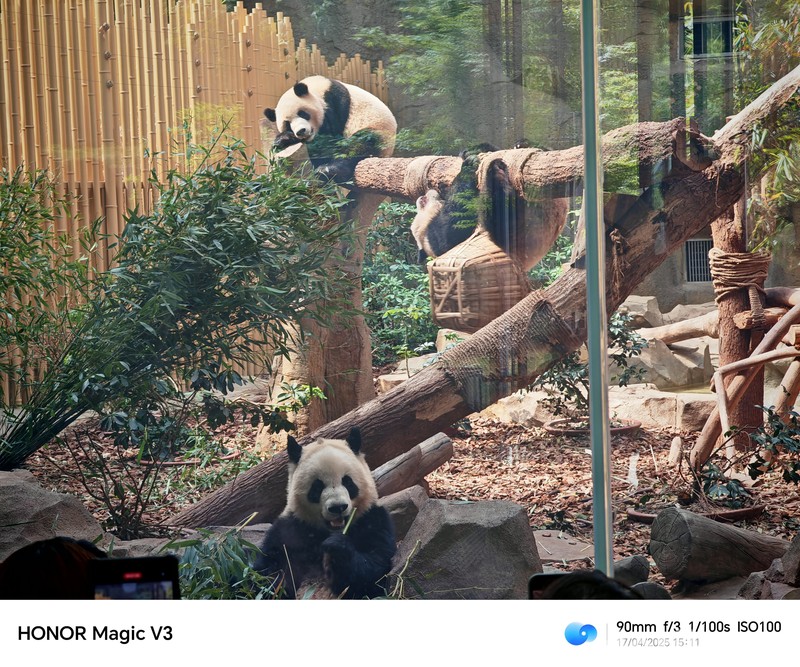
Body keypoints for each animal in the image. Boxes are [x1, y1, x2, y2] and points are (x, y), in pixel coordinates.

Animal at [254, 427, 396, 599]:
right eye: (317, 486)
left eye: (347, 482)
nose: (338, 507)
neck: (327, 531)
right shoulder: (289, 531)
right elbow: (269, 574)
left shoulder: (373, 519)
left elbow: (376, 570)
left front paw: (336, 549)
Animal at [264, 75, 397, 184]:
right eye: (287, 124)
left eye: (302, 113)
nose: (301, 131)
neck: (317, 88)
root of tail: (387, 154)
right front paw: (282, 140)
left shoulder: (334, 102)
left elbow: (329, 141)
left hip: (379, 131)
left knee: (360, 144)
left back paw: (330, 170)